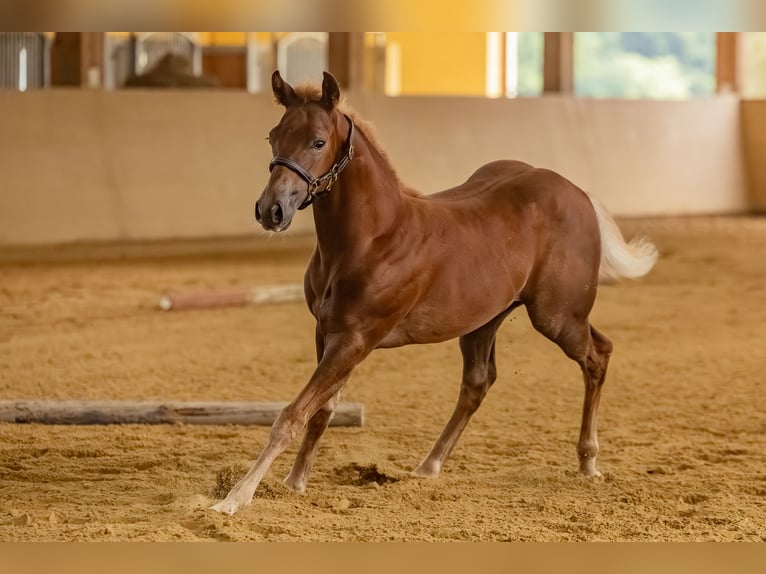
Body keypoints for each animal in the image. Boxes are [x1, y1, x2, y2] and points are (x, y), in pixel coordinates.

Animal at [211, 70, 658, 515]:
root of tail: (579, 193)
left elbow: (293, 414)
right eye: (273, 136)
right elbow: (322, 410)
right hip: (484, 321)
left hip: (558, 317)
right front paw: (295, 483)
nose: (271, 211)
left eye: (318, 141)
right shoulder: (327, 332)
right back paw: (429, 465)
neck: (374, 238)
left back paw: (588, 462)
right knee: (478, 382)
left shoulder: (356, 339)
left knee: (598, 355)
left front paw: (235, 498)